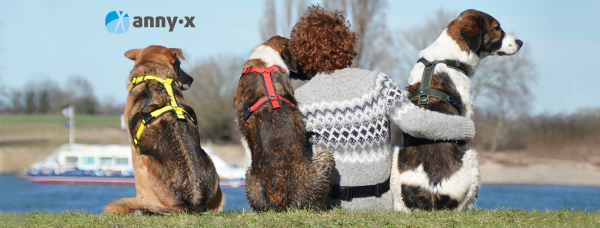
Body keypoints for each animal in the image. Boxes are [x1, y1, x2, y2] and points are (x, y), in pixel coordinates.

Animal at [103, 45, 225, 215]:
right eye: (179, 65)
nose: (192, 80)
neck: (155, 74)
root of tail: (192, 203)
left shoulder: (134, 148)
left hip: (144, 160)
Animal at [392, 9, 524, 211]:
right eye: (497, 28)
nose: (520, 42)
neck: (446, 57)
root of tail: (431, 196)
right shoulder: (467, 119)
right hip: (473, 157)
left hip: (396, 157)